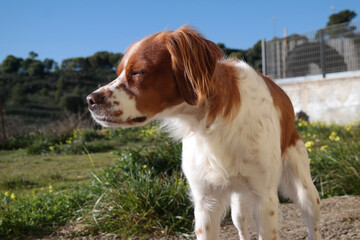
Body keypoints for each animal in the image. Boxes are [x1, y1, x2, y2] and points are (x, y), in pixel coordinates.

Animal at [86, 26, 320, 240]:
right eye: (118, 72)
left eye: (138, 72)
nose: (90, 100)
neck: (206, 123)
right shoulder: (205, 201)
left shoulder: (264, 198)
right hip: (238, 207)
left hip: (306, 192)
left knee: (312, 221)